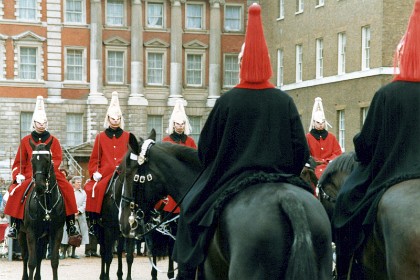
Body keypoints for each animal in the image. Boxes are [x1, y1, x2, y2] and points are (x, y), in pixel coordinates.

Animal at [17, 139, 65, 278]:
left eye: (47, 160)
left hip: (43, 237)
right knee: (25, 256)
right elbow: (31, 262)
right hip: (21, 233)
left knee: (39, 256)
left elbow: (54, 261)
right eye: (32, 160)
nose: (39, 187)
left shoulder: (57, 232)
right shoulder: (31, 232)